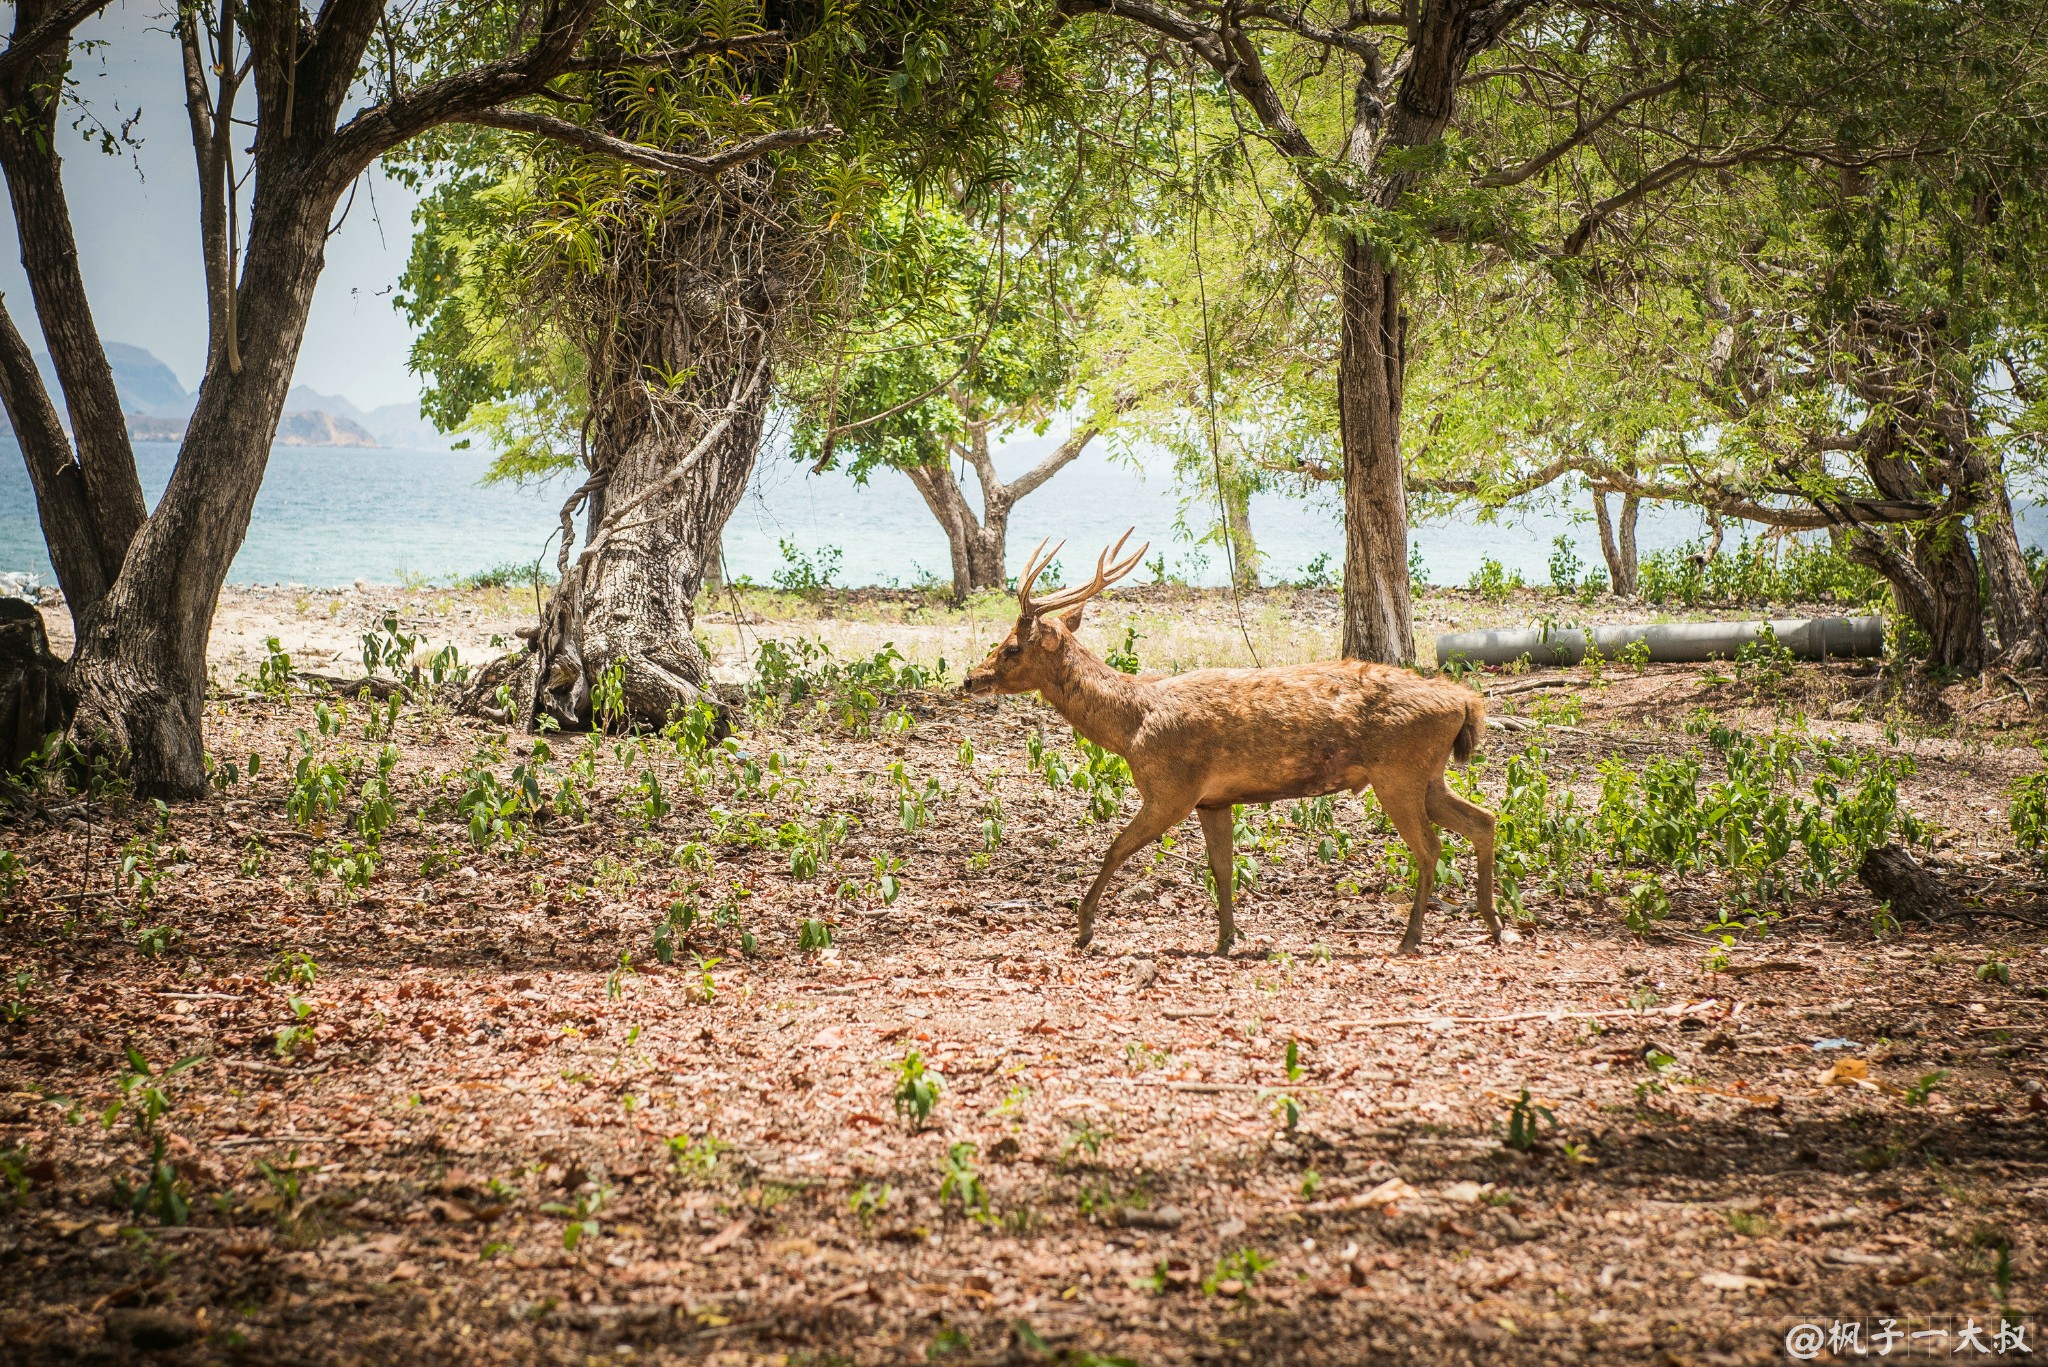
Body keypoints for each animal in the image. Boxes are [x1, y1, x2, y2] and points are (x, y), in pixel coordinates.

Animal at [958, 528, 1507, 959]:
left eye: (1011, 648)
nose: (970, 679)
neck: (1132, 726)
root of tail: (1465, 702)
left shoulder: (1171, 789)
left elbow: (1115, 849)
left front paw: (1084, 930)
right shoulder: (1213, 799)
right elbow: (1222, 867)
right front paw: (1226, 939)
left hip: (1399, 770)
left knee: (1430, 846)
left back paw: (1412, 937)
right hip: (1428, 773)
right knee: (1483, 820)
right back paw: (1493, 922)